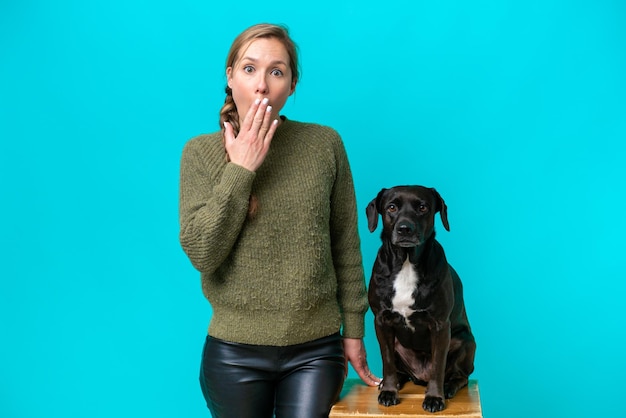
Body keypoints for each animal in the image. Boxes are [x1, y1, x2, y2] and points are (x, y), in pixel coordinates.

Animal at [366, 185, 472, 412]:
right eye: (391, 207)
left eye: (422, 207)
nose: (405, 228)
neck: (406, 262)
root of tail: (419, 376)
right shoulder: (382, 321)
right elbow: (388, 362)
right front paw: (389, 391)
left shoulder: (440, 325)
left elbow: (438, 366)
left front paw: (434, 397)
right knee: (399, 369)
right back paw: (394, 381)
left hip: (465, 340)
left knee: (460, 375)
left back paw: (448, 387)